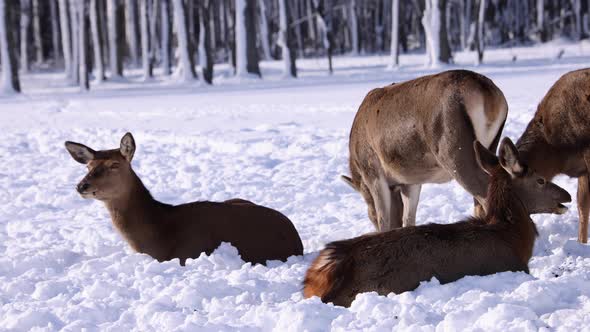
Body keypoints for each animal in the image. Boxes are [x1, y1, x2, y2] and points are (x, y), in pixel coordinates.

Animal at [344, 69, 512, 231]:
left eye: (369, 213)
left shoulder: (372, 172)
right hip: (489, 145)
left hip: (453, 150)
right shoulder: (410, 180)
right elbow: (408, 219)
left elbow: (384, 220)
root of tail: (489, 95)